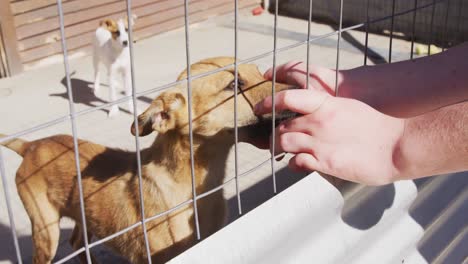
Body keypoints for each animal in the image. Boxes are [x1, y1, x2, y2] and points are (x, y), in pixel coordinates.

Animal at [0, 57, 292, 264]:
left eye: (259, 72)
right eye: (234, 85)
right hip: (45, 233)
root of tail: (30, 145)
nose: (300, 86)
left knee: (76, 242)